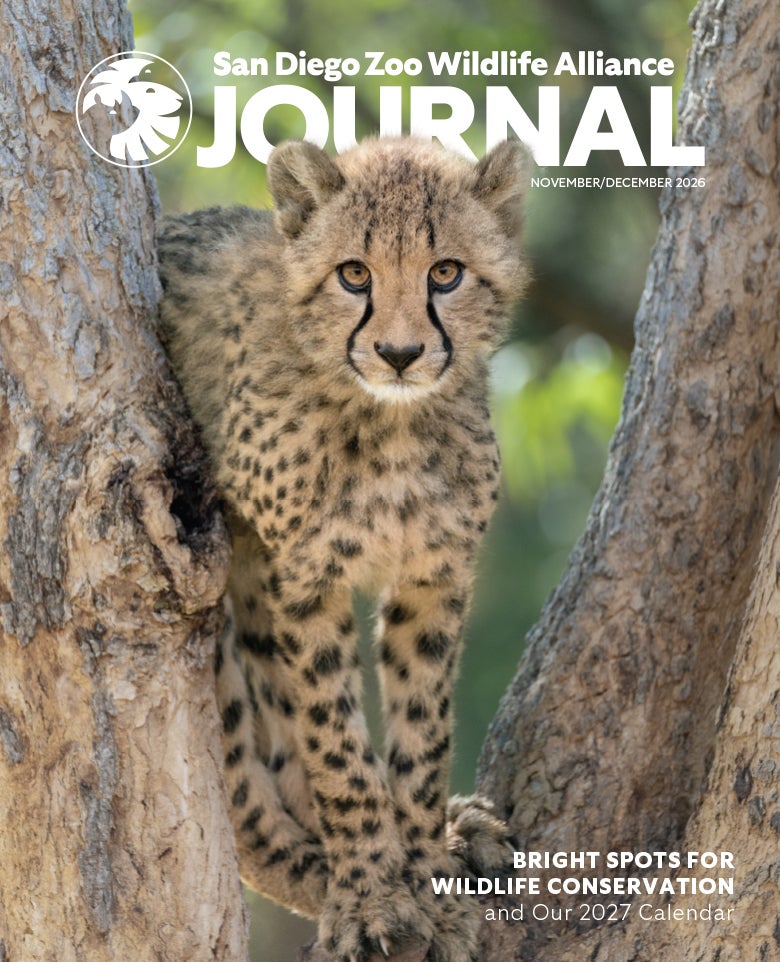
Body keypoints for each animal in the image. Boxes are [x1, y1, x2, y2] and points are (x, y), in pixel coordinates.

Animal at [157, 135, 530, 962]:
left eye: (446, 272)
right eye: (354, 274)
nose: (399, 352)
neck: (393, 419)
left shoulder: (434, 576)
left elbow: (420, 737)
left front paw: (426, 878)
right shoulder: (305, 578)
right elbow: (335, 744)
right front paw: (369, 896)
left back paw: (459, 834)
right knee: (251, 806)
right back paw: (327, 872)